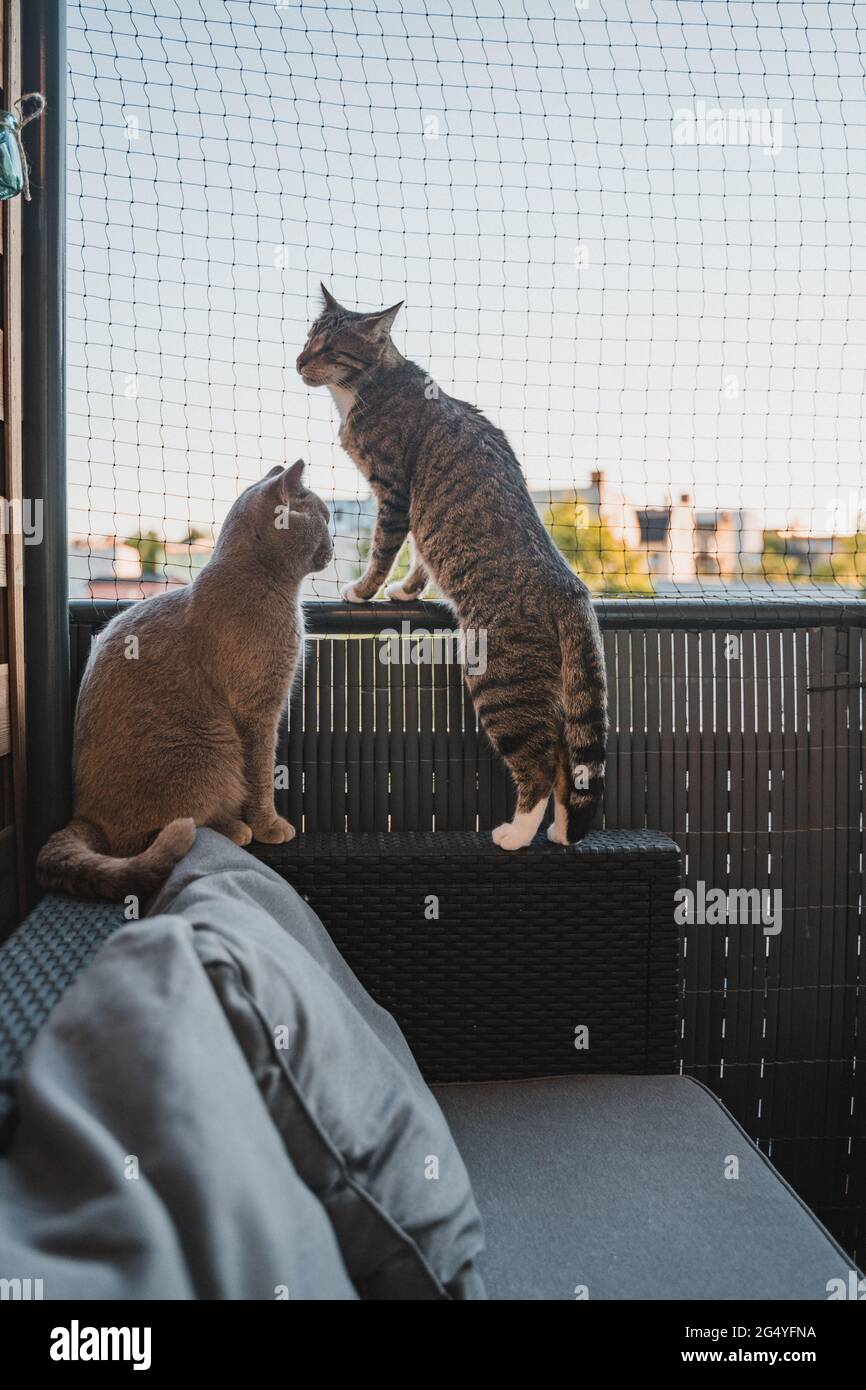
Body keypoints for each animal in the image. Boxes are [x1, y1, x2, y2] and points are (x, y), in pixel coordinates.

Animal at [36, 461, 332, 900]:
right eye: (325, 518)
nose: (333, 543)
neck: (269, 585)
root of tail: (84, 816)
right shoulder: (259, 711)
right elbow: (261, 772)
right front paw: (269, 825)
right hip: (210, 745)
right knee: (162, 830)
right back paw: (235, 828)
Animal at [300, 286, 608, 845]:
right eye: (309, 337)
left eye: (329, 349)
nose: (297, 360)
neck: (370, 386)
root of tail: (569, 585)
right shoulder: (420, 516)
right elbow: (422, 557)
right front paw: (407, 592)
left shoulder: (395, 492)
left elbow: (384, 548)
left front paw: (364, 590)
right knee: (561, 752)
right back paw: (556, 829)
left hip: (499, 680)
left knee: (539, 757)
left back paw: (517, 833)